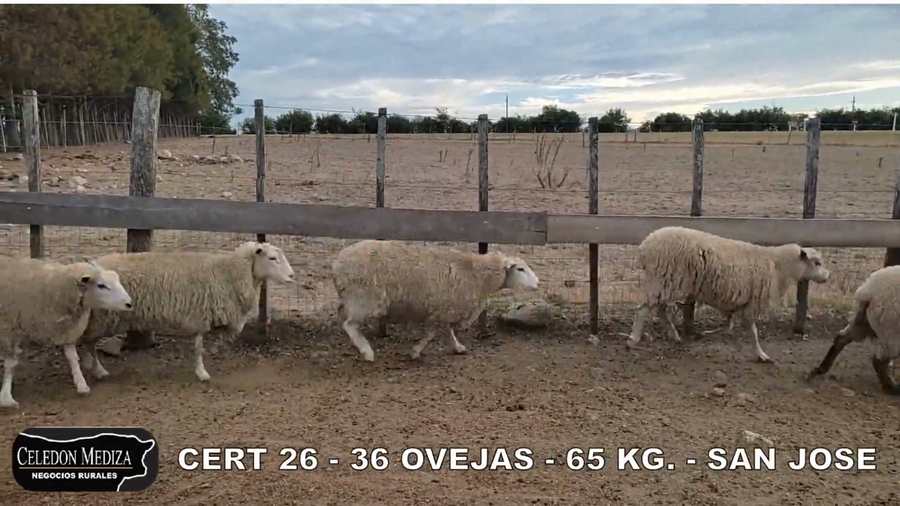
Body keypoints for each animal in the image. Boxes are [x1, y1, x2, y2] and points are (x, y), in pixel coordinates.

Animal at [0, 257, 133, 408]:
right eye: (101, 285)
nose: (129, 304)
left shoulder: (67, 330)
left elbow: (73, 357)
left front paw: (81, 385)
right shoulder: (9, 332)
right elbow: (11, 364)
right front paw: (6, 397)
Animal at [78, 241, 295, 382]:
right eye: (273, 258)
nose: (292, 276)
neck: (230, 272)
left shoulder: (202, 315)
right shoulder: (201, 315)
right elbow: (199, 348)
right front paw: (202, 373)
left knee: (88, 342)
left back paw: (92, 367)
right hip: (101, 316)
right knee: (88, 342)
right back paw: (96, 369)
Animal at [331, 240, 540, 362]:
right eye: (520, 269)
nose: (538, 283)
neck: (476, 274)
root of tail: (338, 262)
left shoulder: (443, 310)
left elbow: (446, 332)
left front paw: (458, 347)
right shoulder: (442, 309)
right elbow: (432, 334)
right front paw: (416, 351)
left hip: (353, 299)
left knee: (345, 319)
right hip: (365, 299)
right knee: (350, 325)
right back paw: (367, 352)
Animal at [627, 226, 830, 363]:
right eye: (817, 262)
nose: (828, 276)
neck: (778, 265)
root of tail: (645, 246)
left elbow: (738, 325)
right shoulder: (752, 302)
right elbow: (753, 332)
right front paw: (761, 354)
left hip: (664, 283)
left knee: (659, 309)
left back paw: (674, 335)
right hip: (664, 280)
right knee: (643, 309)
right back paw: (634, 339)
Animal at [807, 265, 900, 395]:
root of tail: (867, 292)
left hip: (863, 322)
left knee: (841, 338)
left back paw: (820, 369)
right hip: (890, 330)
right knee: (879, 360)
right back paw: (892, 387)